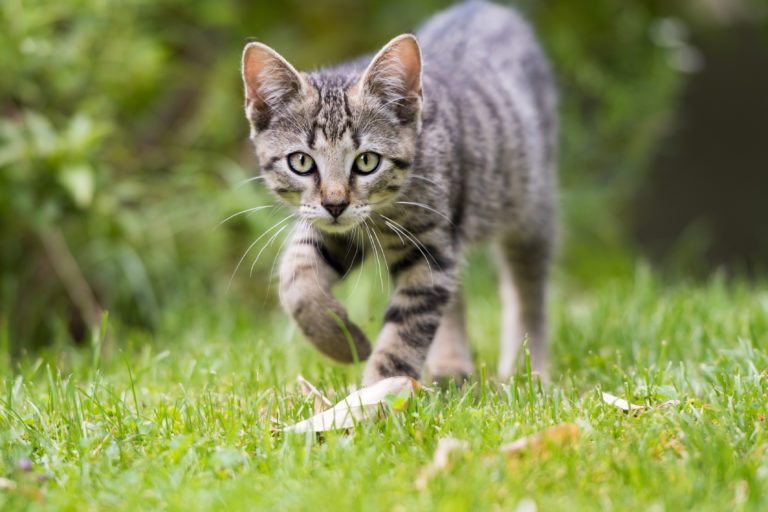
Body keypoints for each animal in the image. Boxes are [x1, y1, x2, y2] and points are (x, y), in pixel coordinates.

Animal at [238, 1, 552, 384]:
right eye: (301, 162)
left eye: (367, 161)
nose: (335, 205)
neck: (382, 214)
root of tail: (484, 7)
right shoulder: (336, 232)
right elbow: (296, 278)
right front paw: (343, 341)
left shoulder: (430, 248)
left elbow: (406, 331)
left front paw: (381, 392)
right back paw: (451, 367)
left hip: (530, 204)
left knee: (528, 288)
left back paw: (528, 370)